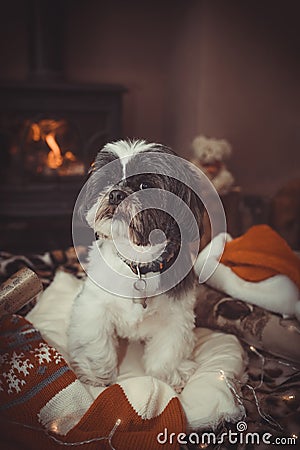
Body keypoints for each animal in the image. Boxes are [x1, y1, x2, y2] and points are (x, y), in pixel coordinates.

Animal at [68, 141, 204, 390]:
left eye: (145, 185)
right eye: (108, 180)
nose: (115, 194)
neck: (138, 264)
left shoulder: (176, 318)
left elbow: (167, 352)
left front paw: (168, 376)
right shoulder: (93, 306)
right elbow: (95, 342)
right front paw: (96, 375)